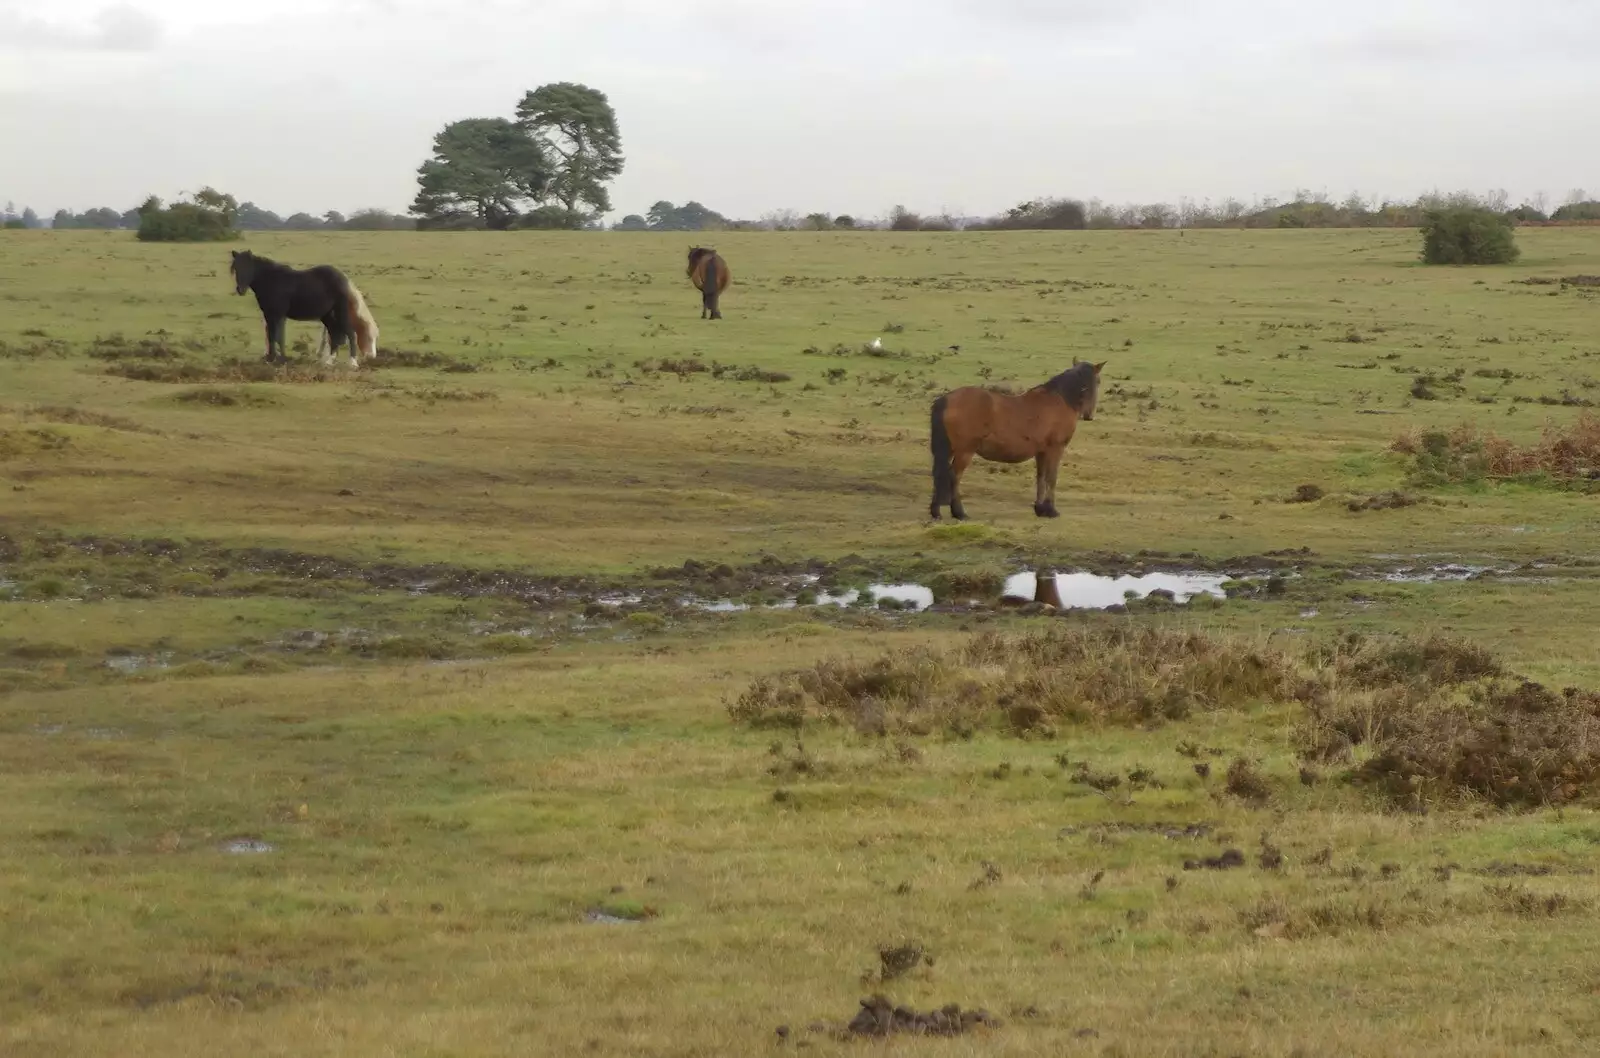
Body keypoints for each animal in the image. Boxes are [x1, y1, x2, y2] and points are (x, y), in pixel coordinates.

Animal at [227, 249, 366, 364]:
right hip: (327, 315)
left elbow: (276, 336)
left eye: (248, 266)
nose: (240, 290)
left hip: (340, 311)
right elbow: (275, 337)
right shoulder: (270, 314)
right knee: (335, 334)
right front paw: (274, 358)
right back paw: (329, 361)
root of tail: (344, 279)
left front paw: (277, 359)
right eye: (235, 268)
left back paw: (352, 363)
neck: (272, 280)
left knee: (350, 333)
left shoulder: (277, 315)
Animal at [934, 361, 1107, 521]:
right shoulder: (1056, 449)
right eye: (1097, 381)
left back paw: (936, 512)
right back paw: (959, 513)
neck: (1059, 400)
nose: (1089, 415)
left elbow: (1041, 477)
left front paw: (1040, 509)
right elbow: (1051, 478)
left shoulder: (1041, 452)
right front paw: (1051, 510)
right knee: (954, 476)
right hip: (965, 452)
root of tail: (946, 399)